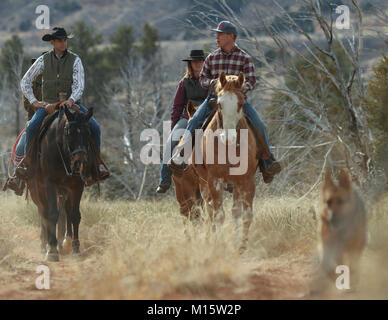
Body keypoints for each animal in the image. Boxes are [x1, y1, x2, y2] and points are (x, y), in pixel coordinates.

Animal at [26, 104, 96, 260]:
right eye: (69, 133)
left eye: (88, 133)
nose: (79, 162)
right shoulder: (50, 184)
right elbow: (52, 214)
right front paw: (52, 251)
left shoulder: (77, 186)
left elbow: (75, 215)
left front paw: (75, 249)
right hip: (37, 189)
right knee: (43, 212)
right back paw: (45, 245)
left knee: (64, 212)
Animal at [192, 72, 264, 252]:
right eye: (219, 104)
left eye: (241, 103)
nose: (229, 138)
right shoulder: (214, 180)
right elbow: (218, 215)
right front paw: (219, 243)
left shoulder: (246, 180)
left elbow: (245, 214)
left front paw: (242, 245)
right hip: (204, 183)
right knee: (210, 210)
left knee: (234, 211)